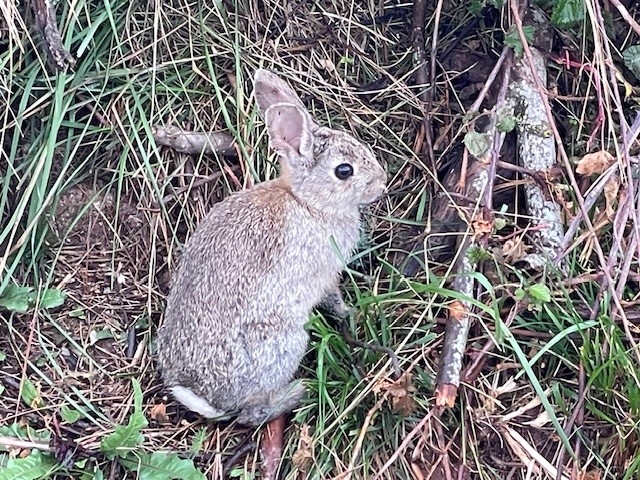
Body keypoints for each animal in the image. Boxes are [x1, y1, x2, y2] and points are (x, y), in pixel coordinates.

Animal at [158, 69, 388, 426]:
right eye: (344, 171)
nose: (382, 182)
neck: (308, 202)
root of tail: (207, 397)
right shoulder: (324, 274)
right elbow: (334, 298)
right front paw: (354, 312)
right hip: (285, 339)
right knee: (250, 414)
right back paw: (298, 392)